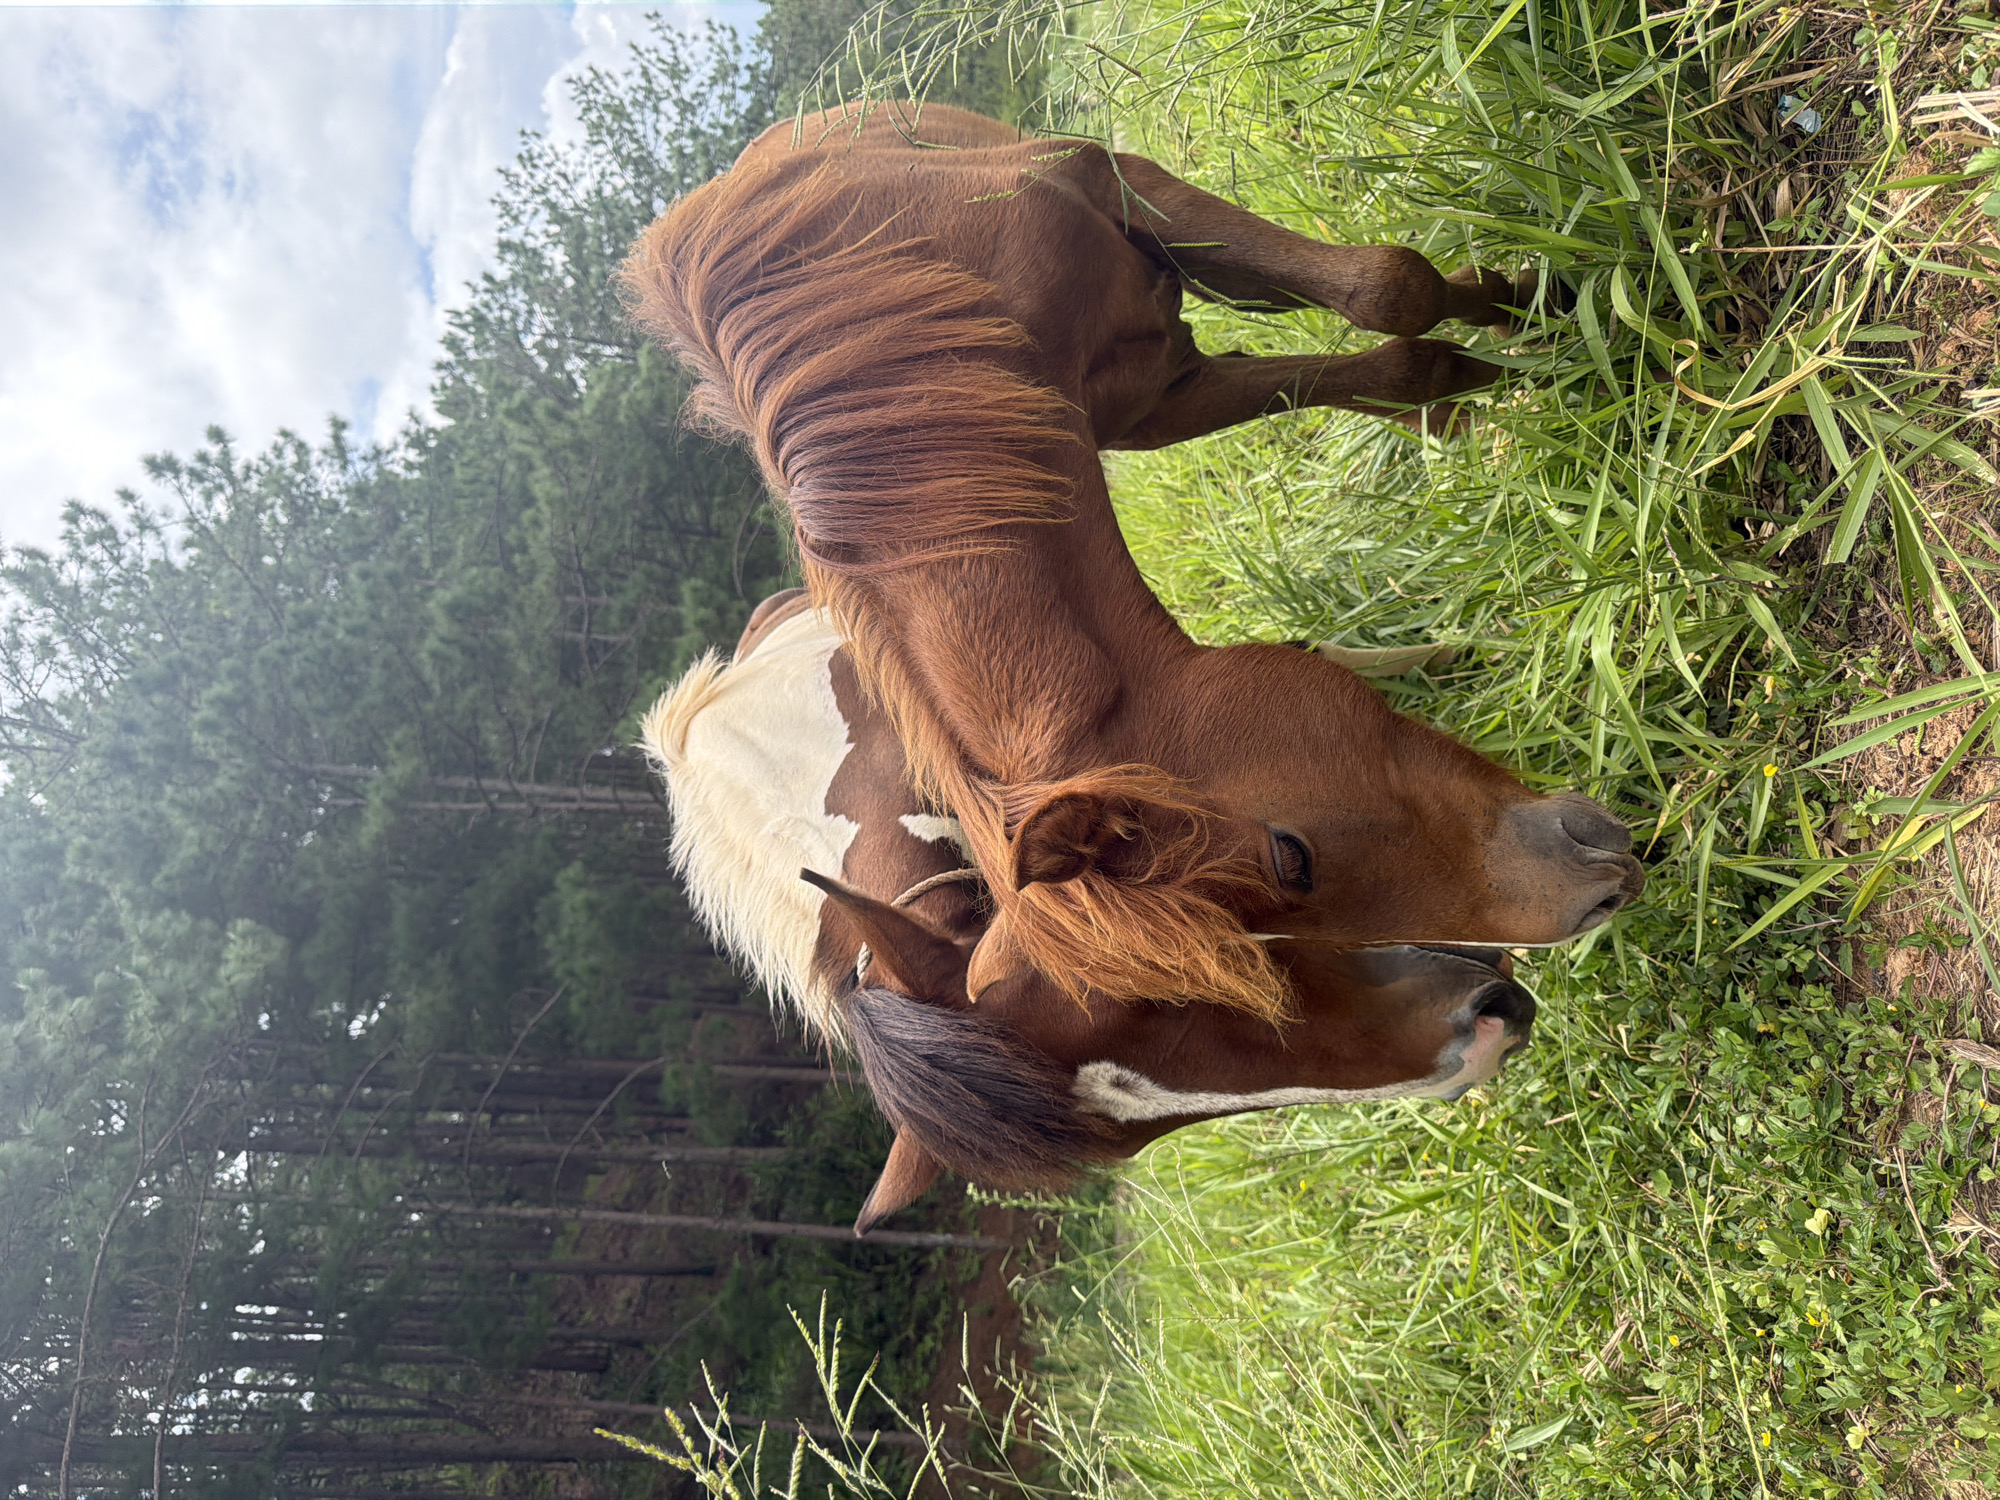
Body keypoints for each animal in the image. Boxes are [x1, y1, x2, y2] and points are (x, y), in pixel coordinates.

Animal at [622, 99, 1645, 1035]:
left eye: (1289, 855)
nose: (1590, 899)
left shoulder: (1113, 187)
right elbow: (1396, 349)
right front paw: (1518, 366)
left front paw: (1558, 314)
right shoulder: (1164, 396)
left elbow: (1390, 289)